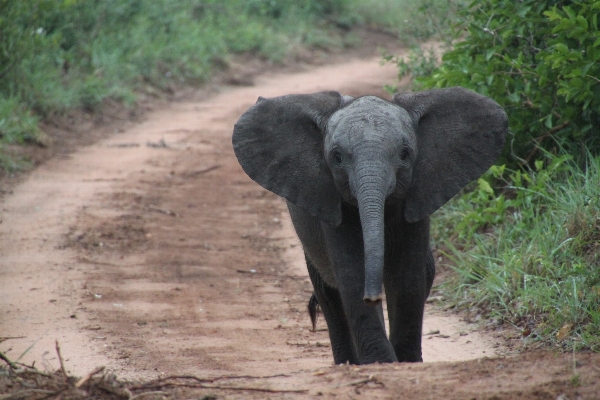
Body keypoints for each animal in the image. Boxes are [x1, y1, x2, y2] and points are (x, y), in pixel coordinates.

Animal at [232, 87, 508, 366]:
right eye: (337, 157)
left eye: (405, 154)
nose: (372, 298)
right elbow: (352, 273)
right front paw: (381, 362)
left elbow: (407, 276)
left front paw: (407, 362)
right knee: (327, 293)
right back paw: (347, 363)